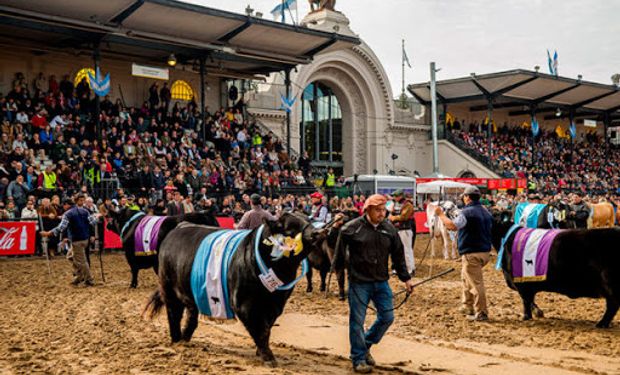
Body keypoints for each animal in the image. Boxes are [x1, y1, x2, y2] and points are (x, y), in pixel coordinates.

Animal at [143, 213, 326, 366]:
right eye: (291, 227)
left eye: (308, 220)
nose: (318, 232)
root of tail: (180, 226)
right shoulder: (244, 304)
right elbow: (261, 330)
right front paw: (269, 357)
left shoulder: (275, 305)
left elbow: (267, 327)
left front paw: (261, 352)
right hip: (168, 289)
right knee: (173, 313)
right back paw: (176, 341)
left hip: (190, 293)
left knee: (191, 315)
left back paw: (184, 338)